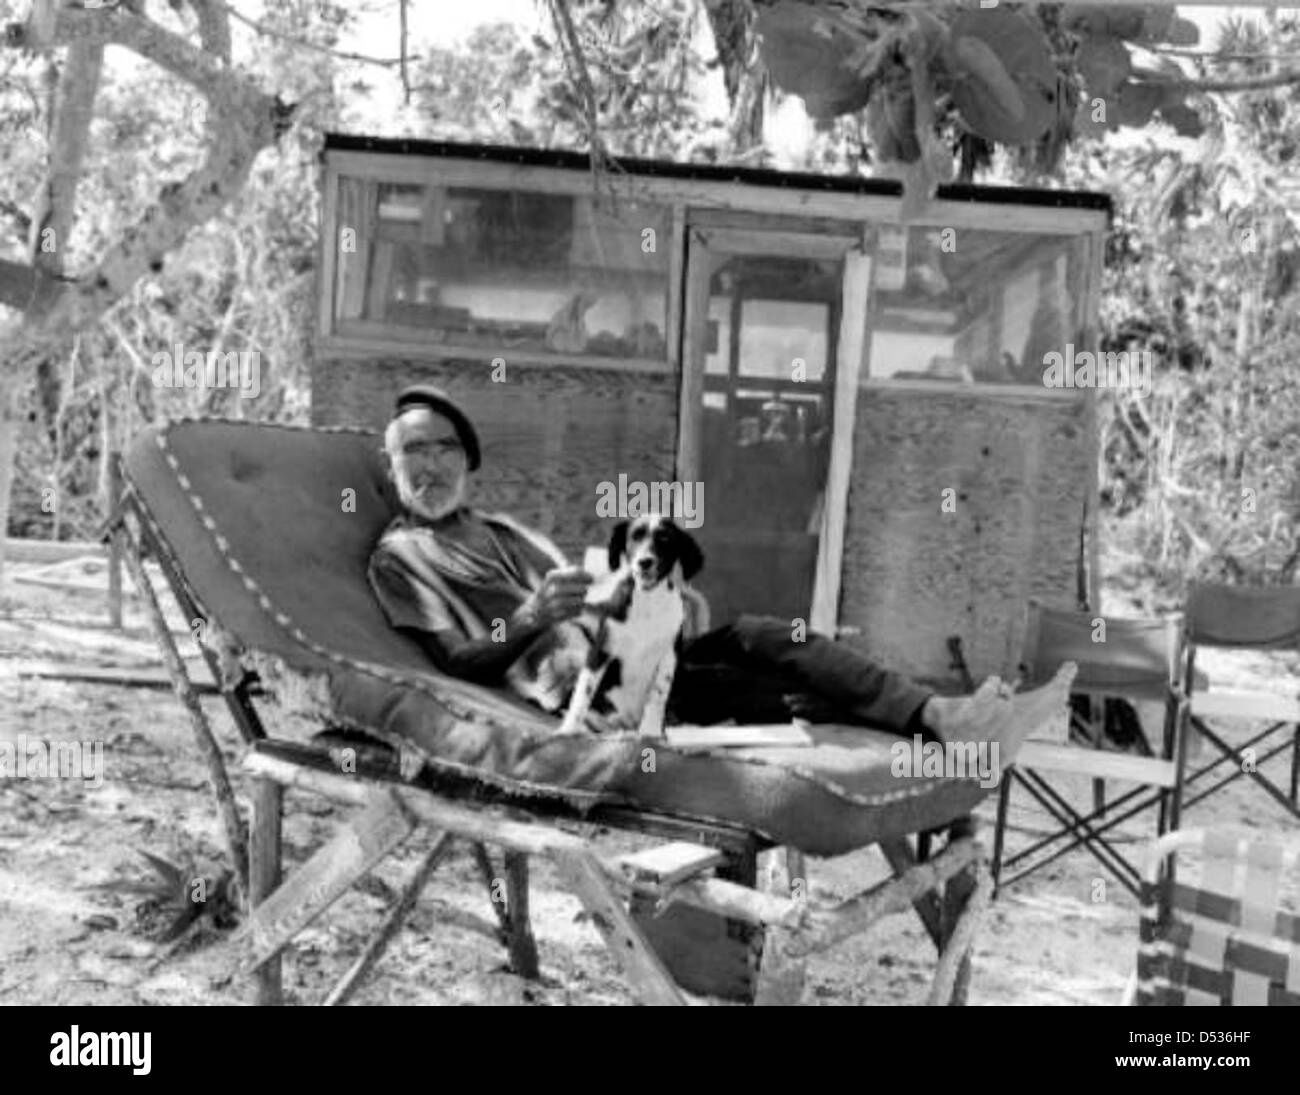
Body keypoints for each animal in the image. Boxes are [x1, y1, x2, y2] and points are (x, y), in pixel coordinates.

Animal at [553, 512, 707, 733]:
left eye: (665, 538)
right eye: (635, 536)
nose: (645, 562)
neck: (647, 602)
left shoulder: (669, 656)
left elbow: (657, 696)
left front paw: (650, 732)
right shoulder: (600, 650)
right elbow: (584, 693)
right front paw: (569, 729)